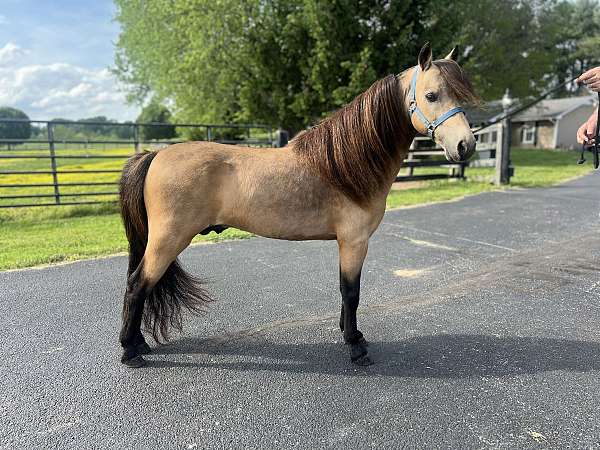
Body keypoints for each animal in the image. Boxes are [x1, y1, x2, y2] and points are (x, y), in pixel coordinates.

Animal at [118, 42, 478, 368]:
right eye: (431, 96)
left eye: (460, 96)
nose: (466, 145)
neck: (345, 166)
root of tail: (156, 154)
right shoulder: (355, 241)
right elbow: (352, 292)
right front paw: (355, 347)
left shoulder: (347, 243)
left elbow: (345, 292)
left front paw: (352, 334)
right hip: (168, 240)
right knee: (137, 285)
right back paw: (130, 351)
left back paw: (139, 343)